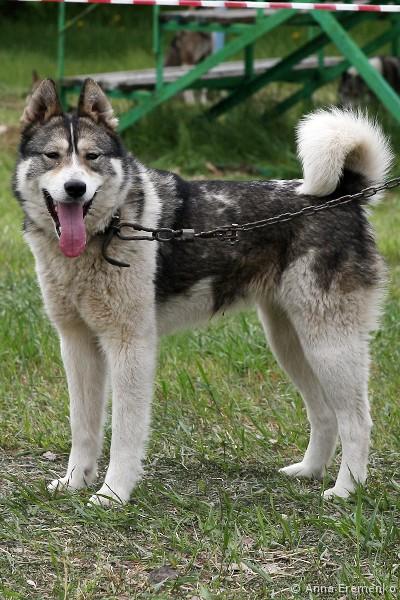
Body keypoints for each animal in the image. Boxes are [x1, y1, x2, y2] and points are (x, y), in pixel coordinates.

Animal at [13, 79, 392, 506]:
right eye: (52, 156)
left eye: (92, 157)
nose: (75, 188)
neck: (107, 229)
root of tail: (343, 196)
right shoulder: (77, 345)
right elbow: (83, 425)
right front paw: (75, 481)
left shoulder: (131, 346)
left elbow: (125, 433)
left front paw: (113, 494)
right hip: (292, 343)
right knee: (325, 413)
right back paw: (309, 471)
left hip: (329, 344)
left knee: (357, 419)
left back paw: (346, 490)